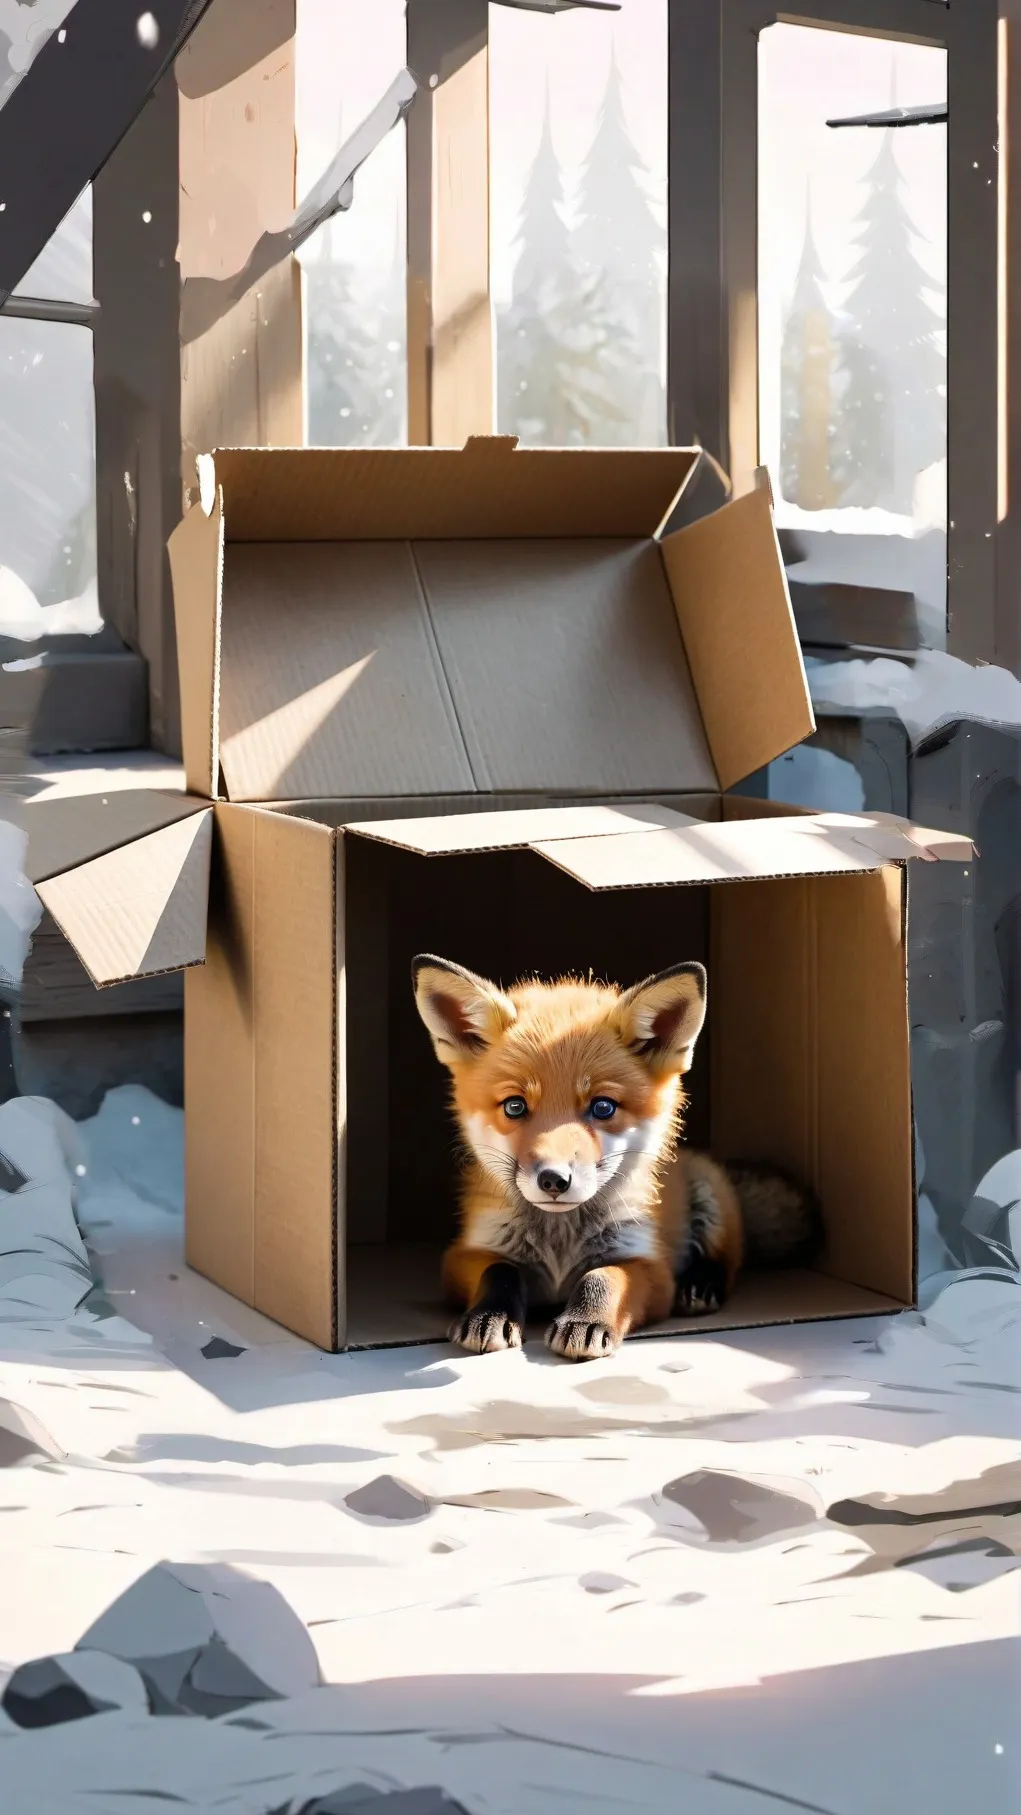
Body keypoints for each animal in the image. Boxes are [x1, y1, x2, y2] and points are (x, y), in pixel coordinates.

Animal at [412, 954, 823, 1362]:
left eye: (603, 1107)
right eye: (514, 1106)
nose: (553, 1180)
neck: (560, 1244)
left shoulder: (650, 1264)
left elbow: (602, 1278)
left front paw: (586, 1321)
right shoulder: (463, 1255)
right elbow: (500, 1271)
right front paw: (488, 1316)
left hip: (711, 1190)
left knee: (729, 1260)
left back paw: (700, 1284)